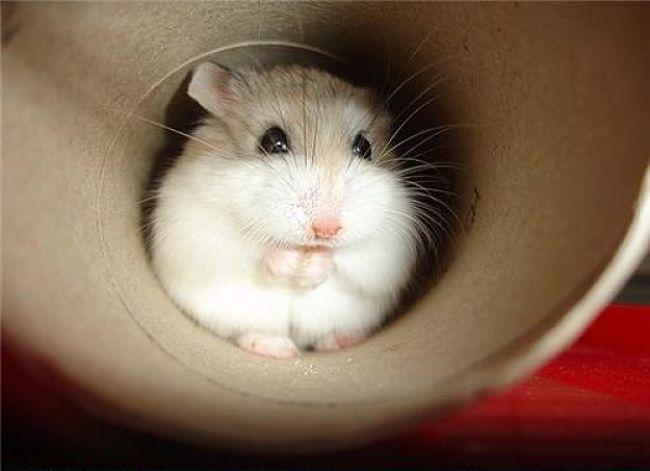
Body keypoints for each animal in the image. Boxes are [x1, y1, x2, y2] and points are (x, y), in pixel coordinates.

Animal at [150, 62, 420, 358]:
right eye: (272, 141)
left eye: (365, 147)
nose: (326, 230)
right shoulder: (194, 228)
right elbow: (254, 250)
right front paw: (292, 262)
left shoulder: (392, 242)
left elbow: (349, 259)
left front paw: (313, 263)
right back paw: (278, 348)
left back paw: (340, 341)